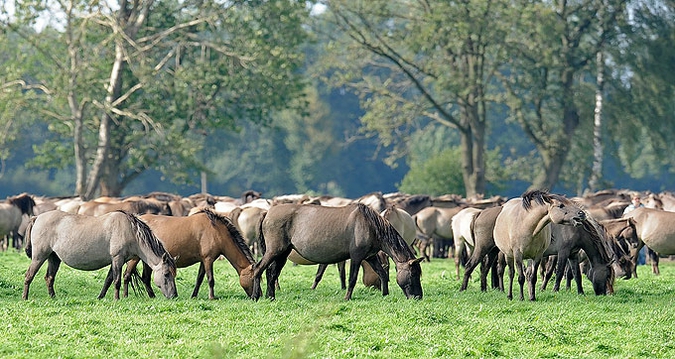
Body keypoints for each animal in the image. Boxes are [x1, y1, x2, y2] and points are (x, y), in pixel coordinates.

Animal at [22, 211, 177, 300]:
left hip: (54, 257)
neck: (130, 230)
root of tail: (37, 217)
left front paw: (100, 297)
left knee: (49, 278)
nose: (174, 295)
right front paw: (117, 299)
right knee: (29, 276)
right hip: (39, 256)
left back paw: (53, 298)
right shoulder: (117, 259)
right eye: (166, 274)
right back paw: (25, 297)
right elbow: (116, 281)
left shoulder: (116, 261)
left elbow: (108, 280)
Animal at [123, 210, 260, 300]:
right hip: (135, 259)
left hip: (148, 260)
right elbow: (210, 279)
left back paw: (152, 296)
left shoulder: (203, 261)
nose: (258, 296)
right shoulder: (208, 260)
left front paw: (194, 296)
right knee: (127, 275)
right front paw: (212, 297)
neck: (216, 231)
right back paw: (125, 295)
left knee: (145, 278)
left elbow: (199, 279)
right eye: (254, 278)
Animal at [254, 204, 422, 302]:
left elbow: (382, 274)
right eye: (413, 274)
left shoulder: (370, 257)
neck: (370, 225)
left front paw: (385, 294)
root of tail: (267, 212)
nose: (418, 297)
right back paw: (256, 296)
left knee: (271, 273)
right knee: (258, 269)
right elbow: (352, 279)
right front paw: (347, 298)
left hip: (283, 253)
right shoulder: (356, 257)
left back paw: (271, 297)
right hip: (274, 251)